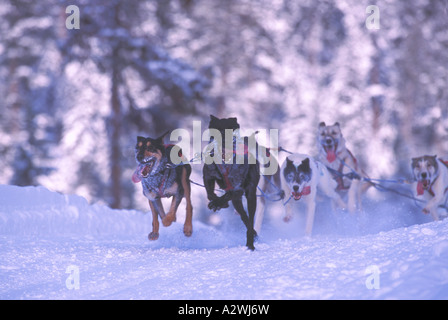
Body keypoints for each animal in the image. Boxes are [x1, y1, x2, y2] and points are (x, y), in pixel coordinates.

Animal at [202, 115, 260, 250]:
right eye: (215, 130)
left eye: (230, 130)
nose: (223, 140)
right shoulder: (208, 176)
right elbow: (210, 194)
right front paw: (218, 202)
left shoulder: (237, 188)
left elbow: (226, 195)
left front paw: (218, 203)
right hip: (237, 202)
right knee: (244, 217)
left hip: (251, 196)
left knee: (250, 219)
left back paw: (250, 243)